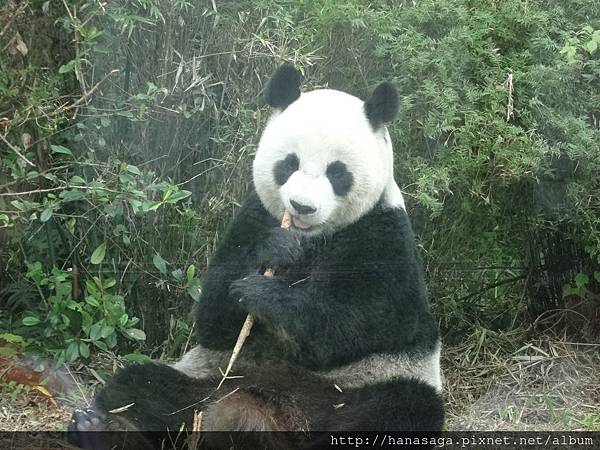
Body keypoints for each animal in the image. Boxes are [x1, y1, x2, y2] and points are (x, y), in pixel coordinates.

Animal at [69, 64, 446, 450]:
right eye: (289, 164)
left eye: (337, 172)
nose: (301, 206)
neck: (311, 237)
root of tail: (272, 416)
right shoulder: (253, 215)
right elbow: (214, 317)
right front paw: (273, 252)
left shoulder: (383, 232)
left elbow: (365, 319)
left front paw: (265, 295)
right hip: (215, 379)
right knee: (141, 388)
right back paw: (98, 428)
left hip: (361, 385)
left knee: (396, 411)